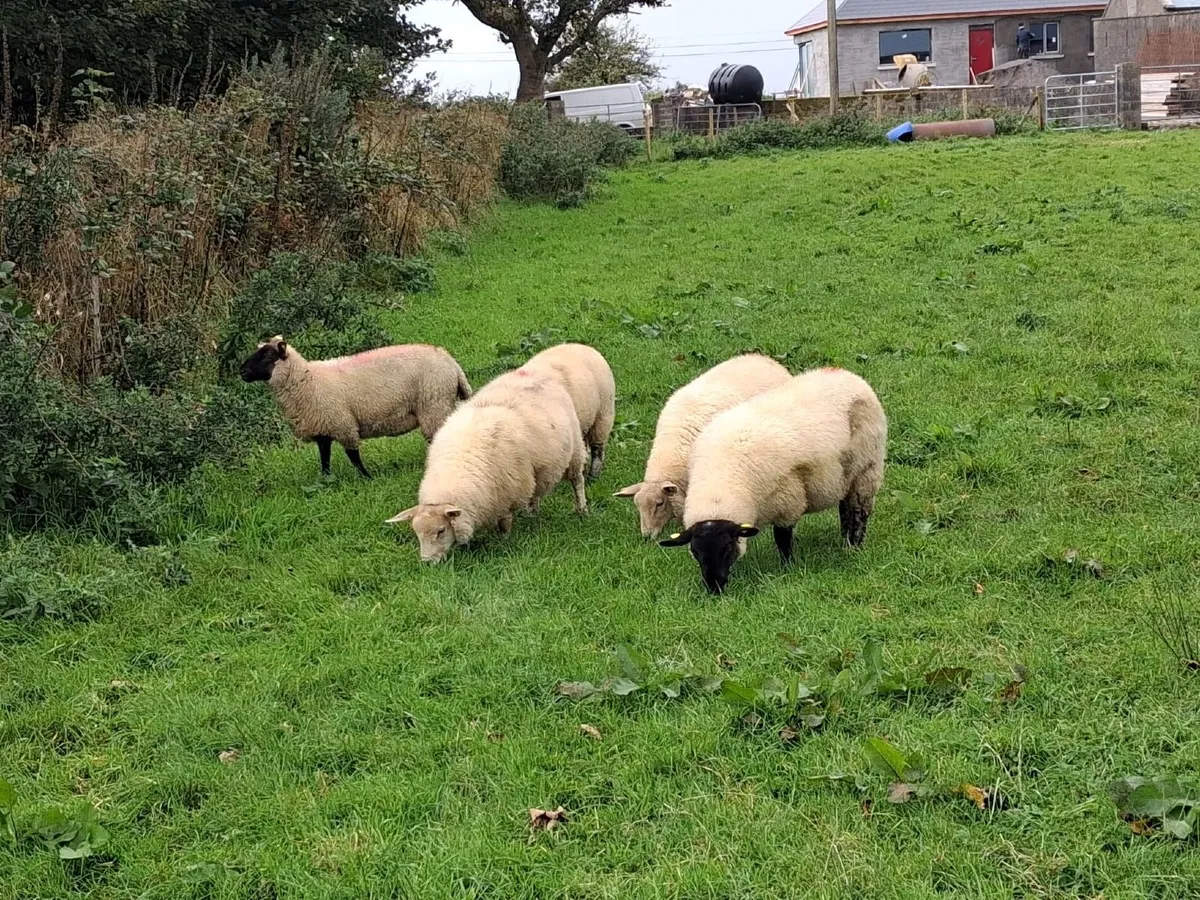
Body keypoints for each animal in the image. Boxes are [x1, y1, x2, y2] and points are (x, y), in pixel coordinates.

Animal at [240, 336, 471, 478]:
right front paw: (326, 480)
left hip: (434, 406)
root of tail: (451, 362)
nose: (241, 370)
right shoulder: (323, 429)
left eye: (268, 356)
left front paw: (368, 478)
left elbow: (353, 457)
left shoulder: (343, 425)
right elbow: (325, 458)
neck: (307, 381)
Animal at [386, 366, 589, 563]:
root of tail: (538, 374)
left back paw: (582, 509)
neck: (458, 465)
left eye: (441, 530)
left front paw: (503, 541)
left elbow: (505, 523)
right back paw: (532, 514)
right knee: (535, 492)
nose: (426, 562)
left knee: (577, 481)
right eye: (417, 533)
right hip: (537, 470)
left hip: (575, 451)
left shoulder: (507, 496)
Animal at [660, 367, 887, 594]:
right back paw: (844, 539)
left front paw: (788, 567)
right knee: (845, 507)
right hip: (845, 477)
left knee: (859, 511)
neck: (720, 481)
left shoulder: (788, 501)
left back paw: (854, 546)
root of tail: (846, 374)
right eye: (695, 552)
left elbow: (782, 539)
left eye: (727, 549)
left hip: (866, 469)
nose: (715, 588)